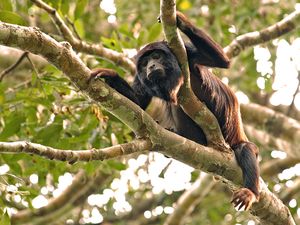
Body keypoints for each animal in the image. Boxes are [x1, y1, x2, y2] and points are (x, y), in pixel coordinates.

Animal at [92, 11, 260, 209]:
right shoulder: (141, 79)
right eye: (144, 63)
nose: (151, 66)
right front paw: (110, 76)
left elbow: (222, 61)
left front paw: (180, 20)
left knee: (245, 149)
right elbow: (137, 103)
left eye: (157, 56)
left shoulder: (186, 53)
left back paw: (250, 192)